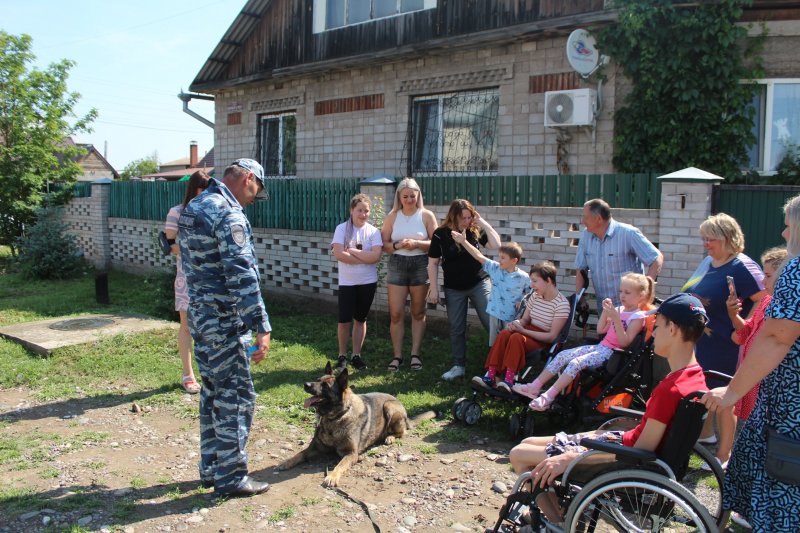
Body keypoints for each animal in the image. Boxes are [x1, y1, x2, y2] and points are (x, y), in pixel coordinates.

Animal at [276, 362, 438, 486]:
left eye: (325, 386)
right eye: (317, 379)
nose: (305, 384)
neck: (335, 417)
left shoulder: (351, 454)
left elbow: (339, 465)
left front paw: (332, 476)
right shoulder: (315, 448)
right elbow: (300, 453)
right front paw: (286, 462)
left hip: (389, 407)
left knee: (402, 431)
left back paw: (390, 437)